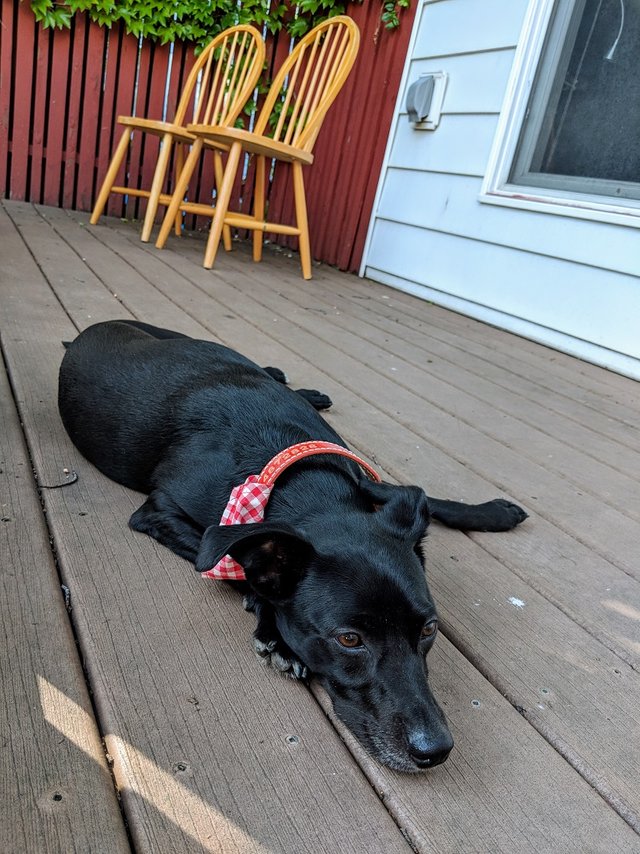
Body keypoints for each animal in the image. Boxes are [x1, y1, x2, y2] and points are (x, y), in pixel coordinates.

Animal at [58, 320, 524, 776]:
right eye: (349, 639)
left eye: (429, 629)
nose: (435, 751)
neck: (299, 477)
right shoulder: (160, 513)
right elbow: (244, 568)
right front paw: (275, 633)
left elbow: (420, 496)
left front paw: (490, 512)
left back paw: (305, 389)